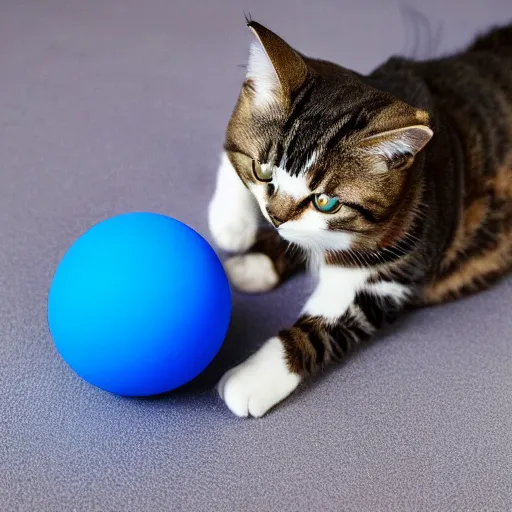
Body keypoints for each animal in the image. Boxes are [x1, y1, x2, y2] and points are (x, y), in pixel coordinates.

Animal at [206, 22, 510, 418]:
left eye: (326, 202)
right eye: (263, 171)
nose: (274, 217)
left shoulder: (391, 274)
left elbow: (327, 323)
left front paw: (254, 378)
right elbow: (233, 158)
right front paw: (236, 230)